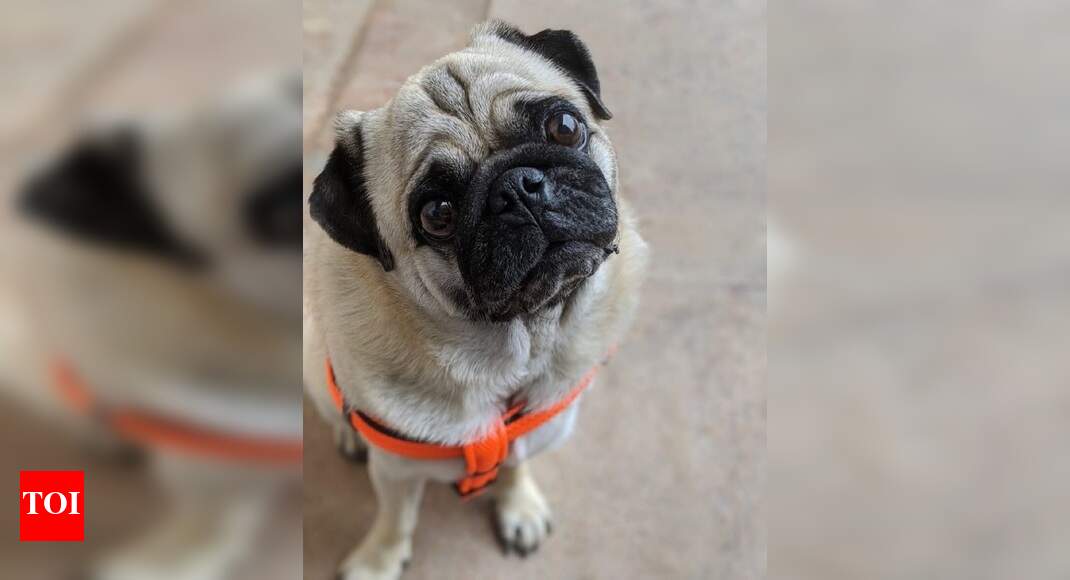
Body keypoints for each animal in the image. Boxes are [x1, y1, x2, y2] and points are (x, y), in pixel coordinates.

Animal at [304, 22, 647, 580]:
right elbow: (395, 518)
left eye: (565, 127)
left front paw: (518, 506)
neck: (523, 343)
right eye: (437, 213)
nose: (520, 187)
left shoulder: (537, 431)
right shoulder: (395, 472)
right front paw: (379, 559)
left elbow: (517, 464)